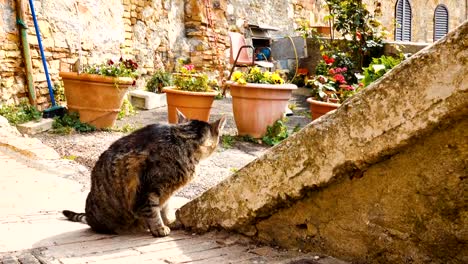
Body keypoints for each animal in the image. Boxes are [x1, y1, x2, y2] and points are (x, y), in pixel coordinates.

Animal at [63, 111, 226, 237]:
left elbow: (165, 208)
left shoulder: (166, 191)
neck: (182, 141)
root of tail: (90, 217)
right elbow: (153, 210)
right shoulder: (149, 189)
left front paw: (170, 222)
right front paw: (159, 228)